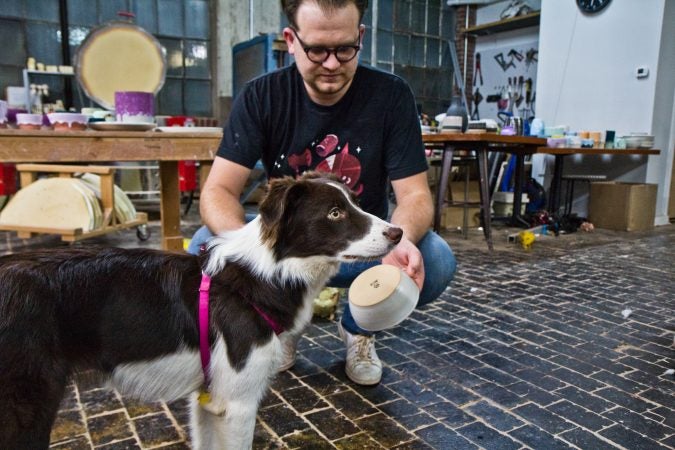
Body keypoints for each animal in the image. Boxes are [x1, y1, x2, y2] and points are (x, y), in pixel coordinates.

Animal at [0, 173, 402, 450]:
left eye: (356, 202)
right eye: (335, 213)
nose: (398, 233)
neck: (265, 274)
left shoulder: (208, 400)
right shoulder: (239, 404)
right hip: (27, 411)